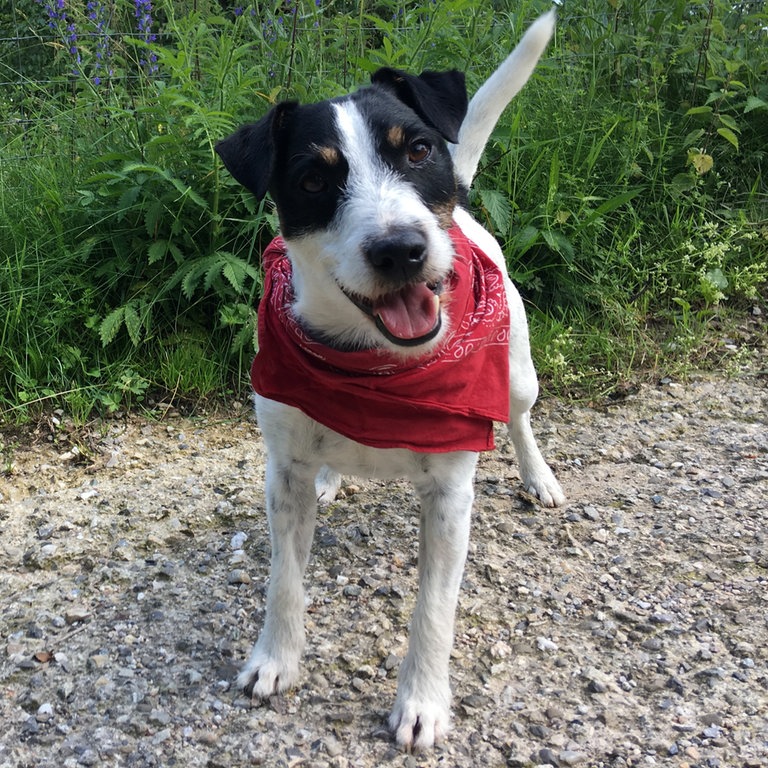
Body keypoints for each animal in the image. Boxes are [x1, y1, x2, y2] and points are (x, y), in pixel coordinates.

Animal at [216, 10, 564, 752]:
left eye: (418, 151)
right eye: (313, 180)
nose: (400, 249)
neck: (373, 365)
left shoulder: (450, 496)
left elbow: (433, 609)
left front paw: (422, 703)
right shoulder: (281, 474)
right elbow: (284, 580)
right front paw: (274, 659)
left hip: (517, 374)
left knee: (520, 418)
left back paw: (538, 477)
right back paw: (335, 476)